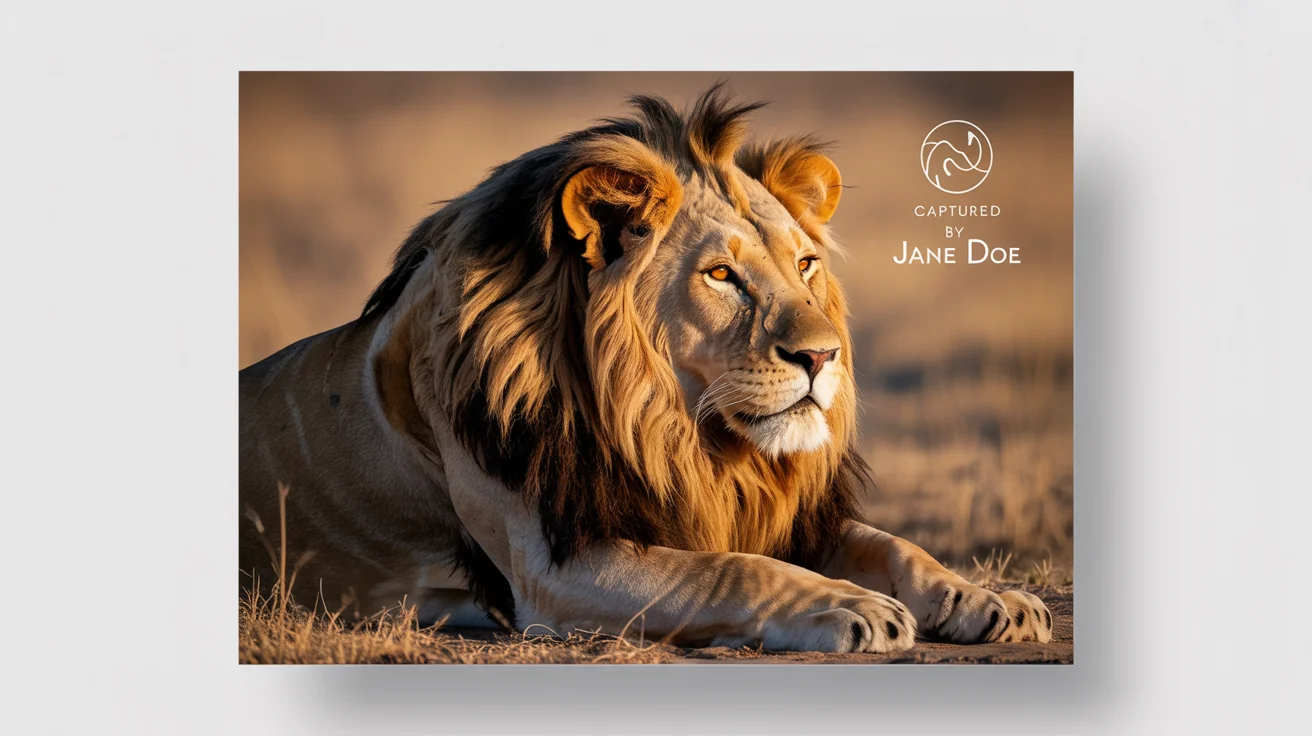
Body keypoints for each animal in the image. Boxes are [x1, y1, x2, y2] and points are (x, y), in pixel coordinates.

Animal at [239, 85, 1052, 652]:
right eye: (722, 276)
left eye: (805, 265)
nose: (824, 356)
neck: (673, 431)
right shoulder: (555, 566)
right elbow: (727, 568)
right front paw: (844, 604)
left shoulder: (767, 512)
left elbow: (891, 543)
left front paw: (987, 598)